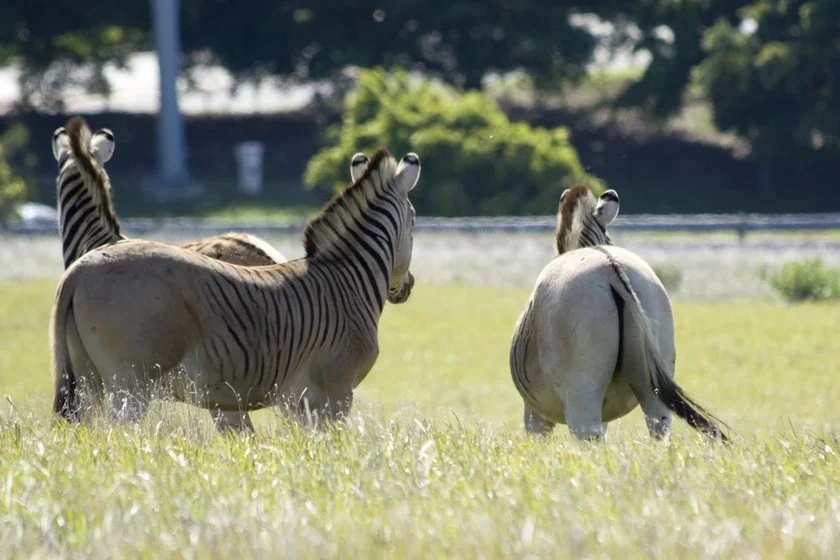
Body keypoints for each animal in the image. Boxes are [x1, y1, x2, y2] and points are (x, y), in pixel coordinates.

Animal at [50, 147, 420, 430]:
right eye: (415, 221)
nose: (407, 287)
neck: (347, 279)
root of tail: (79, 269)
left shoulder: (300, 402)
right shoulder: (334, 394)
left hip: (88, 380)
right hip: (129, 385)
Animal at [508, 184, 724, 442]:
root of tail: (609, 267)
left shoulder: (535, 413)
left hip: (581, 396)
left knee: (588, 439)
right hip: (653, 385)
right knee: (659, 430)